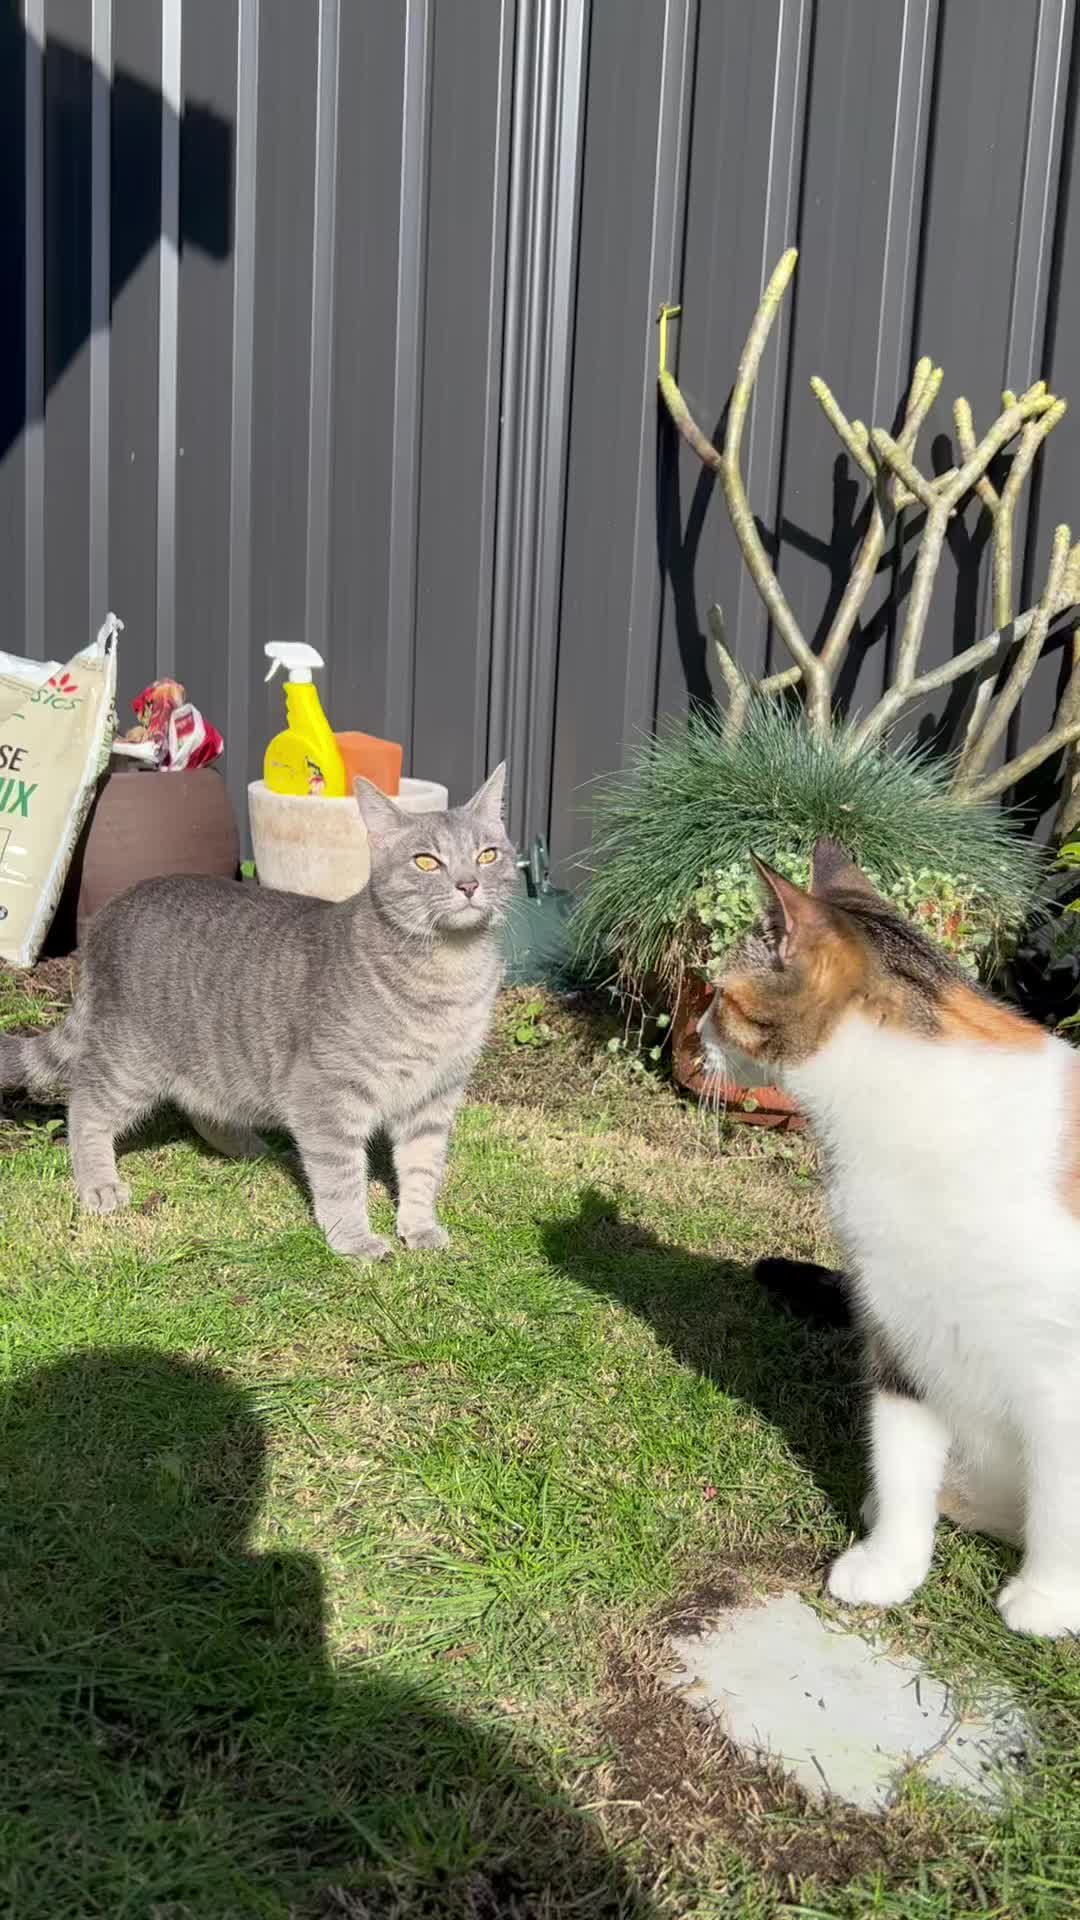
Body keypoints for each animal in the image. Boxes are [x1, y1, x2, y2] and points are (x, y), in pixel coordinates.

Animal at [0, 766, 515, 1261]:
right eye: (426, 861)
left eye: (488, 855)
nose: (468, 884)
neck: (450, 974)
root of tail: (111, 910)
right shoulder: (326, 1096)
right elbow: (342, 1177)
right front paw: (353, 1240)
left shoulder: (435, 1098)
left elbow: (423, 1168)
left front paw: (419, 1227)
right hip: (129, 1062)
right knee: (85, 1106)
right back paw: (99, 1184)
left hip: (214, 1062)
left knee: (204, 1110)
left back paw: (255, 1151)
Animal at [699, 837, 1080, 1639]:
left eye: (717, 995)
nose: (691, 1033)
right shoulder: (899, 1326)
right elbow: (902, 1455)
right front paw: (890, 1564)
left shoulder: (1064, 1370)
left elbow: (1063, 1492)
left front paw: (1050, 1599)